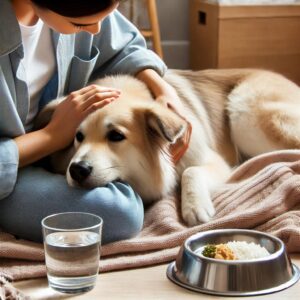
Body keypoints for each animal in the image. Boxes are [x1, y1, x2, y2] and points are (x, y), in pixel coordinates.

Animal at [36, 69, 300, 225]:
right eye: (78, 137)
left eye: (116, 136)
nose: (77, 170)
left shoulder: (212, 160)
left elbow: (190, 171)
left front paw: (195, 207)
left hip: (244, 113)